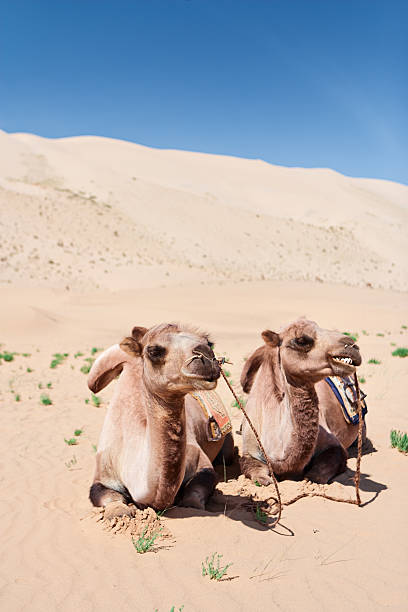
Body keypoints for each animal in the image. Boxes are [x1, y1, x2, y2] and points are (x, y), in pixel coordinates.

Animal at [87, 322, 234, 512]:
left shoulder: (200, 462)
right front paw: (119, 511)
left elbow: (194, 497)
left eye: (209, 343)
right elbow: (110, 500)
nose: (206, 356)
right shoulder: (103, 473)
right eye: (154, 351)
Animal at [241, 318, 362, 486]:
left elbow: (317, 475)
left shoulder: (334, 445)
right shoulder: (249, 450)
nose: (352, 346)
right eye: (301, 340)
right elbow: (258, 473)